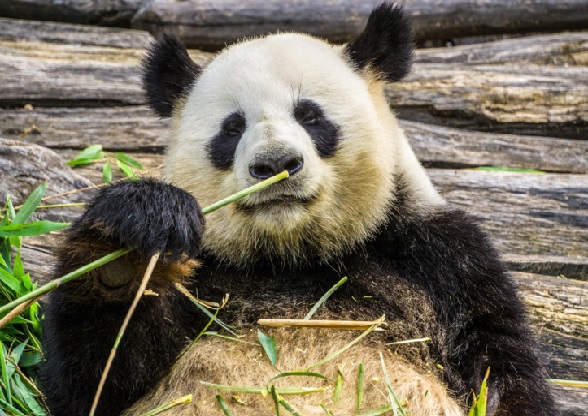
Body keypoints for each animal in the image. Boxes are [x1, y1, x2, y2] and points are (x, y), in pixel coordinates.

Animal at [40, 4, 556, 416]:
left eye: (310, 115)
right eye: (232, 128)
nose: (275, 164)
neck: (291, 256)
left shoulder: (444, 263)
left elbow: (501, 375)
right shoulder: (207, 276)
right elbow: (98, 380)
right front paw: (131, 243)